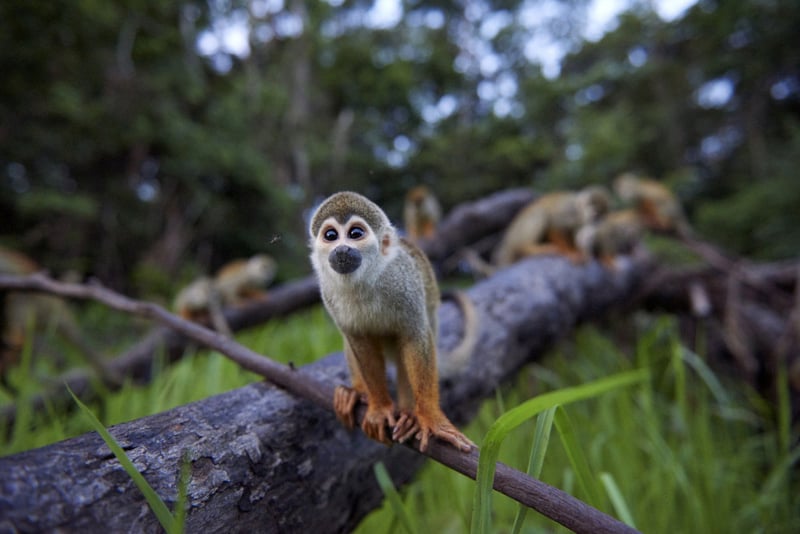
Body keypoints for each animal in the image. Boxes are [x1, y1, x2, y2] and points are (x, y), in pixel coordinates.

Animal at [310, 192, 476, 452]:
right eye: (331, 236)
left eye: (355, 233)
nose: (341, 249)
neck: (363, 280)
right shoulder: (328, 293)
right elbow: (359, 342)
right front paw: (379, 408)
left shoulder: (404, 282)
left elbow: (414, 337)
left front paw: (431, 418)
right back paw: (358, 392)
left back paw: (409, 414)